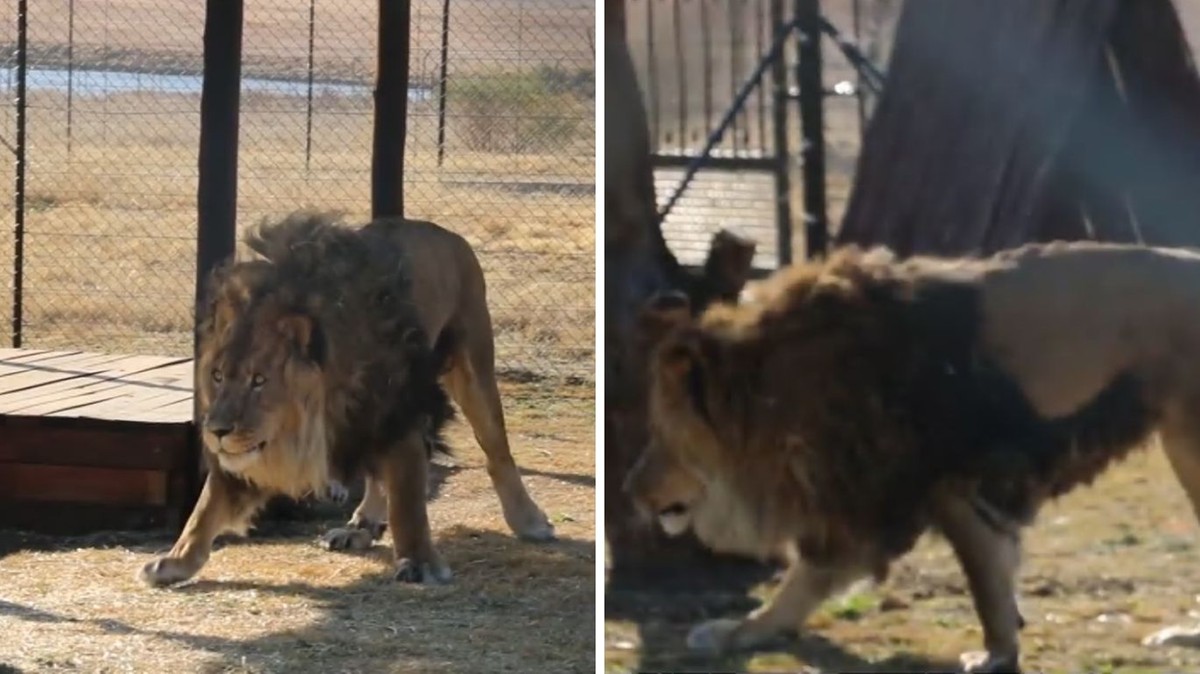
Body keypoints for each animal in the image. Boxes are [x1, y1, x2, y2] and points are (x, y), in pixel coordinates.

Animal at [138, 212, 549, 585]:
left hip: (472, 368)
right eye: (218, 376)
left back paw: (529, 520)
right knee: (377, 475)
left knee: (497, 452)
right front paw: (176, 561)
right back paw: (361, 526)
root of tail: (447, 233)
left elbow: (408, 500)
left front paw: (420, 563)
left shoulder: (398, 412)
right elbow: (205, 507)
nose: (218, 430)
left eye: (259, 380)